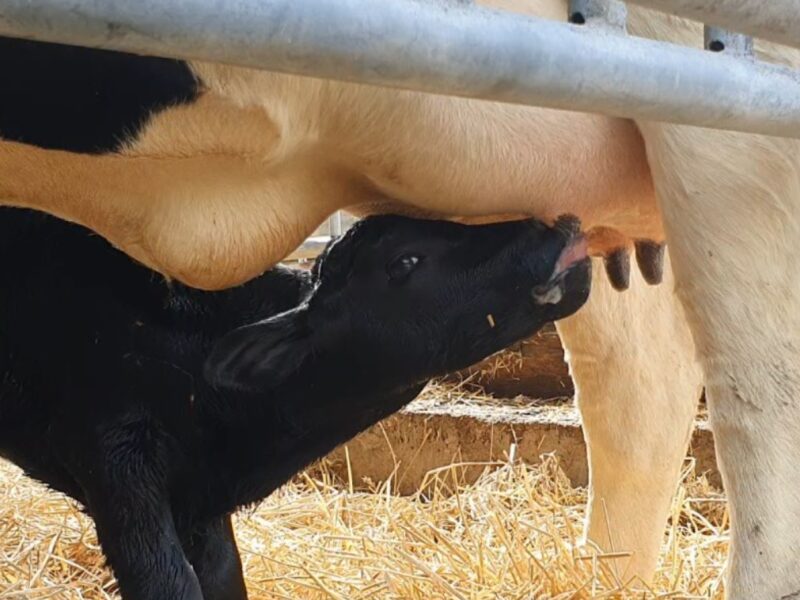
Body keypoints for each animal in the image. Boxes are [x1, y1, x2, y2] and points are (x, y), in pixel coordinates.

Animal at [0, 206, 591, 600]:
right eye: (405, 260)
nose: (556, 230)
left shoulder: (200, 506)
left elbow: (225, 578)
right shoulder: (116, 459)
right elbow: (167, 581)